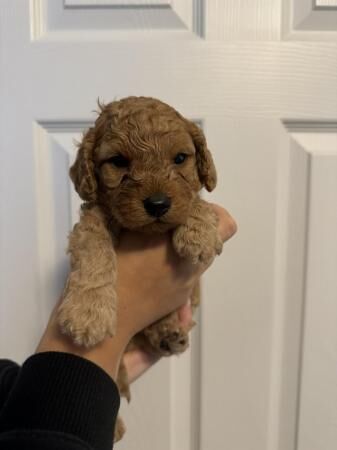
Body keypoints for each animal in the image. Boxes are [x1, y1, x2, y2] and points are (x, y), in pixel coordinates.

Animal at [56, 96, 222, 440]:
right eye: (118, 162)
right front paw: (88, 314)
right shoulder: (93, 219)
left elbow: (195, 197)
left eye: (180, 158)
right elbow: (94, 250)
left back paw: (169, 334)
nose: (158, 204)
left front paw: (198, 231)